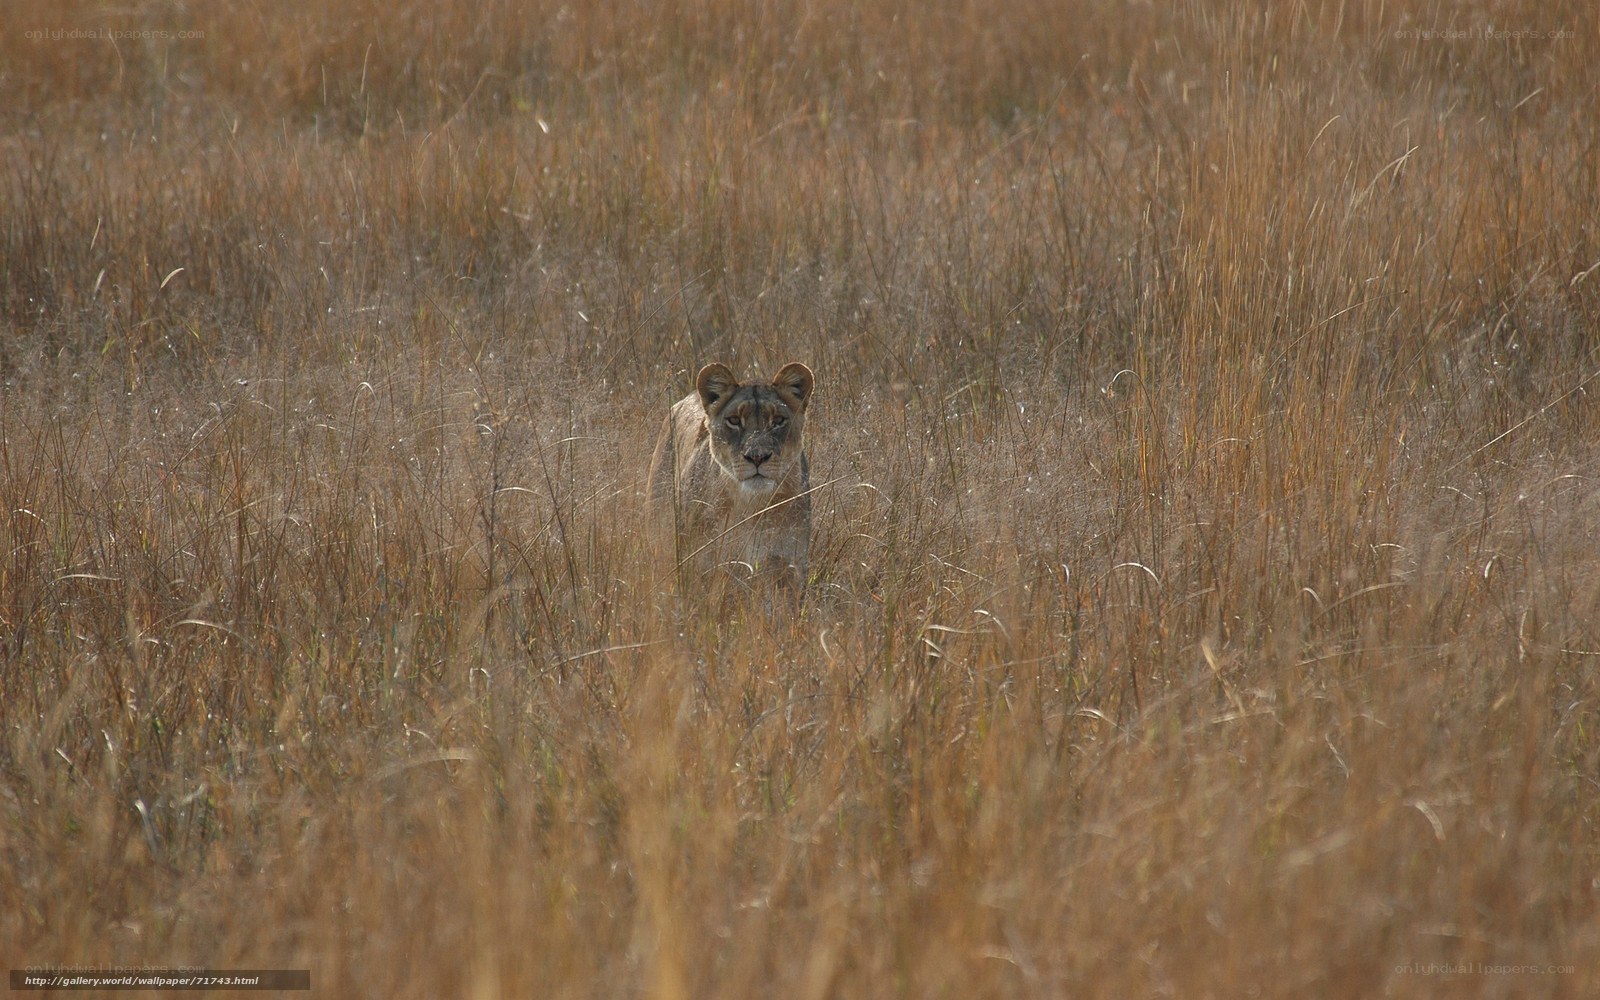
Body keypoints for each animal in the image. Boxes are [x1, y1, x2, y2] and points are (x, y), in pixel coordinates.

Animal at [646, 361, 815, 599]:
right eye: (734, 420)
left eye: (778, 421)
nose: (757, 456)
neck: (752, 507)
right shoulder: (704, 566)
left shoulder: (788, 568)